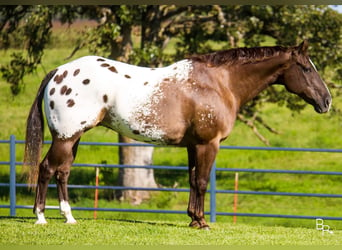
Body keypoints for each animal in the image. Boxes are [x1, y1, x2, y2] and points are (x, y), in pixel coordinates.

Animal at [24, 40, 332, 229]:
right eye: (307, 68)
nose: (327, 101)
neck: (219, 83)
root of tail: (59, 72)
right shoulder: (208, 144)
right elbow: (203, 181)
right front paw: (202, 222)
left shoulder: (193, 146)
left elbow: (193, 180)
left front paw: (194, 219)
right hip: (65, 137)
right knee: (47, 168)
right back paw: (40, 217)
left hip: (73, 137)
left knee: (62, 172)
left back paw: (69, 217)